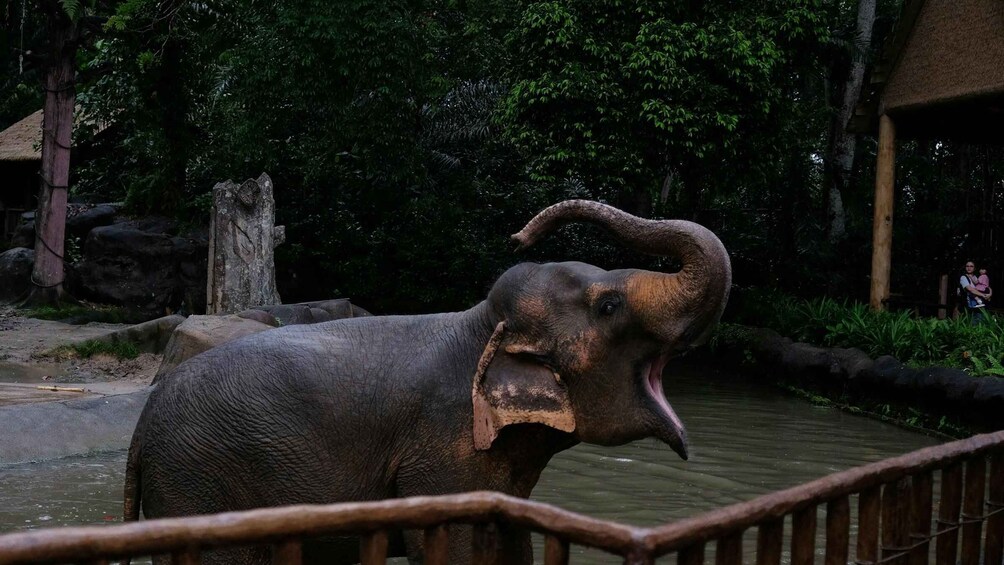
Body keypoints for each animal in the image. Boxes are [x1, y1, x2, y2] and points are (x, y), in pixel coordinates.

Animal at [123, 199, 731, 564]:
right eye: (609, 306)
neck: (479, 326)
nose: (518, 234)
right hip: (200, 485)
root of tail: (140, 429)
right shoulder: (442, 449)